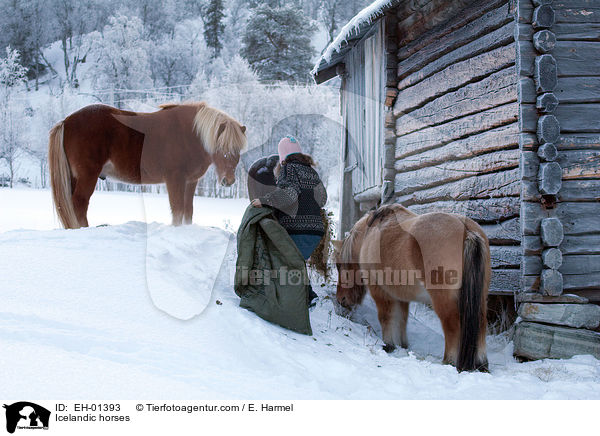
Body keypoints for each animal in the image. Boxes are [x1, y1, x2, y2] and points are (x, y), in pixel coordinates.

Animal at [48, 101, 246, 228]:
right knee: (79, 203)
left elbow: (188, 210)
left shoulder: (190, 182)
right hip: (88, 175)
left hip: (74, 177)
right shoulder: (175, 179)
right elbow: (177, 209)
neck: (190, 134)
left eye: (238, 150)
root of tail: (66, 121)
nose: (228, 181)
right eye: (221, 148)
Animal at [336, 204, 490, 372]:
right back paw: (481, 364)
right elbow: (401, 319)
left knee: (453, 327)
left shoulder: (381, 292)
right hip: (480, 300)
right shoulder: (400, 296)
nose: (341, 299)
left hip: (445, 302)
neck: (368, 235)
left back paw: (449, 361)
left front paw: (389, 345)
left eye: (339, 266)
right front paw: (401, 345)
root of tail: (467, 230)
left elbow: (386, 317)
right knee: (481, 324)